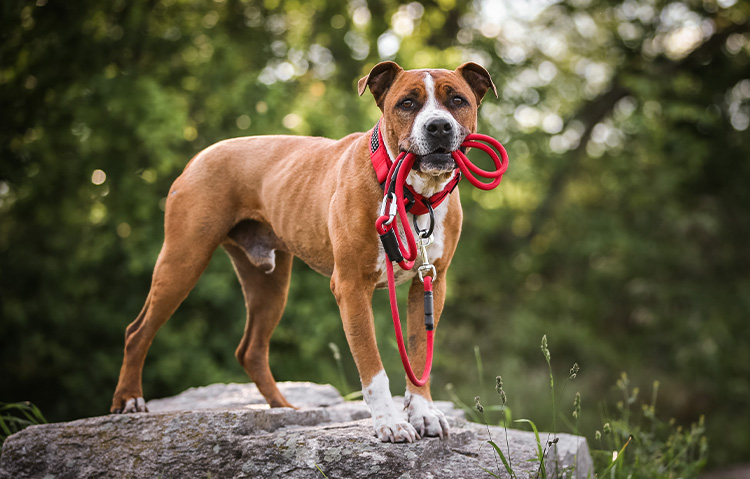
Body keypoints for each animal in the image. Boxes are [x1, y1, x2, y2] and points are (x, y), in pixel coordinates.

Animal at [111, 62, 496, 444]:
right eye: (407, 103)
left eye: (457, 100)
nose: (438, 126)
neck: (412, 194)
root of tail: (201, 155)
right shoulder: (352, 287)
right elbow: (372, 366)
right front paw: (389, 422)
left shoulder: (429, 284)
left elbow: (417, 356)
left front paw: (423, 413)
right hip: (183, 259)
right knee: (136, 331)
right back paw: (129, 400)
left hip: (269, 284)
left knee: (250, 349)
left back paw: (283, 408)